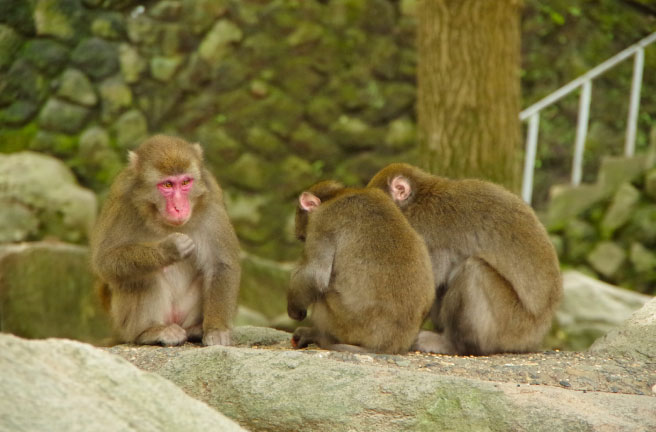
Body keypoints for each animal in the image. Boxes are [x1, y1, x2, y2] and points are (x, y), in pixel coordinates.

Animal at [288, 182, 436, 354]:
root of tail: (389, 345)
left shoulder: (322, 221)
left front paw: (295, 310)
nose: (303, 239)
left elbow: (314, 276)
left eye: (303, 238)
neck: (339, 195)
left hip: (346, 323)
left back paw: (320, 337)